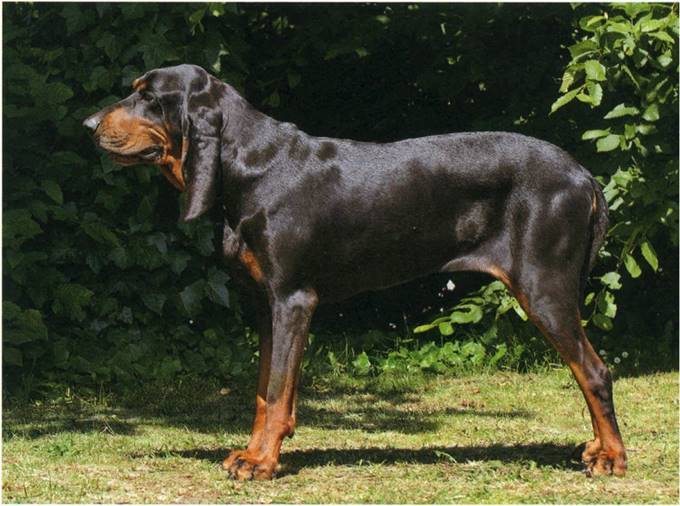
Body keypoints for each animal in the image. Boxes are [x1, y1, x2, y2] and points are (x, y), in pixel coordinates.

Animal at [83, 63, 628, 478]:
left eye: (147, 96)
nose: (87, 124)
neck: (251, 165)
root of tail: (583, 175)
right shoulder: (266, 304)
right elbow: (264, 391)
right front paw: (253, 452)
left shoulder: (293, 300)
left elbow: (277, 391)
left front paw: (262, 463)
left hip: (543, 288)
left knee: (594, 371)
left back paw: (612, 457)